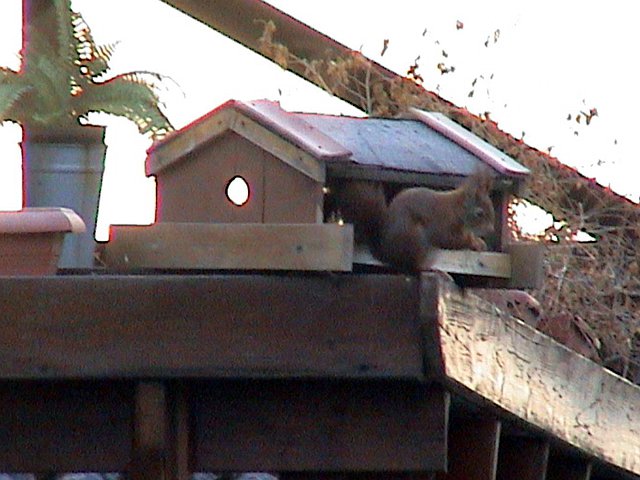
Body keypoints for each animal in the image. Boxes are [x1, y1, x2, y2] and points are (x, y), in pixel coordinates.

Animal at [330, 170, 496, 271]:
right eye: (479, 213)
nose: (491, 229)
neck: (458, 210)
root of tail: (385, 253)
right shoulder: (444, 224)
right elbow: (451, 240)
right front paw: (473, 242)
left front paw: (479, 242)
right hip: (415, 239)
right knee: (414, 266)